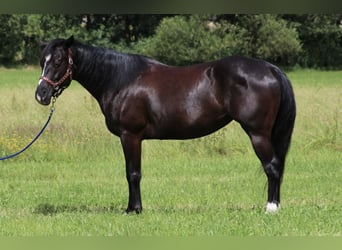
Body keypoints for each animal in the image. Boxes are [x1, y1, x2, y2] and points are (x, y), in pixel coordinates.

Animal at [35, 36, 296, 214]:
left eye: (58, 61)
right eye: (42, 61)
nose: (41, 94)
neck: (120, 79)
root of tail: (270, 68)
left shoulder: (130, 136)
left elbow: (133, 173)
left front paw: (134, 209)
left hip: (257, 133)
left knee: (272, 166)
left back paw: (271, 208)